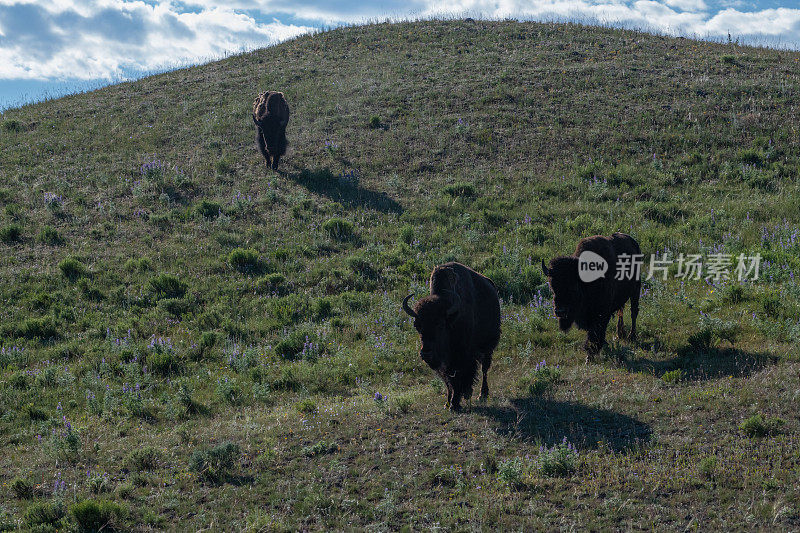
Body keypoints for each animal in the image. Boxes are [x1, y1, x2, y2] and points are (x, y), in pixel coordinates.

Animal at [400, 262, 500, 412]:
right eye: (418, 326)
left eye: (440, 325)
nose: (426, 353)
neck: (452, 320)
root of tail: (490, 285)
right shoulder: (445, 363)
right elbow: (448, 381)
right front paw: (447, 403)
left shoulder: (460, 356)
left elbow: (457, 377)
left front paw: (454, 404)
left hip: (487, 347)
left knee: (484, 369)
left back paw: (482, 395)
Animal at [540, 231, 640, 360]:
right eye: (552, 288)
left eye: (573, 287)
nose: (560, 311)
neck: (585, 281)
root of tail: (633, 241)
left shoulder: (601, 313)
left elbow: (595, 332)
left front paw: (590, 355)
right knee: (621, 311)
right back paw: (620, 334)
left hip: (636, 290)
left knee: (634, 312)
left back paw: (631, 336)